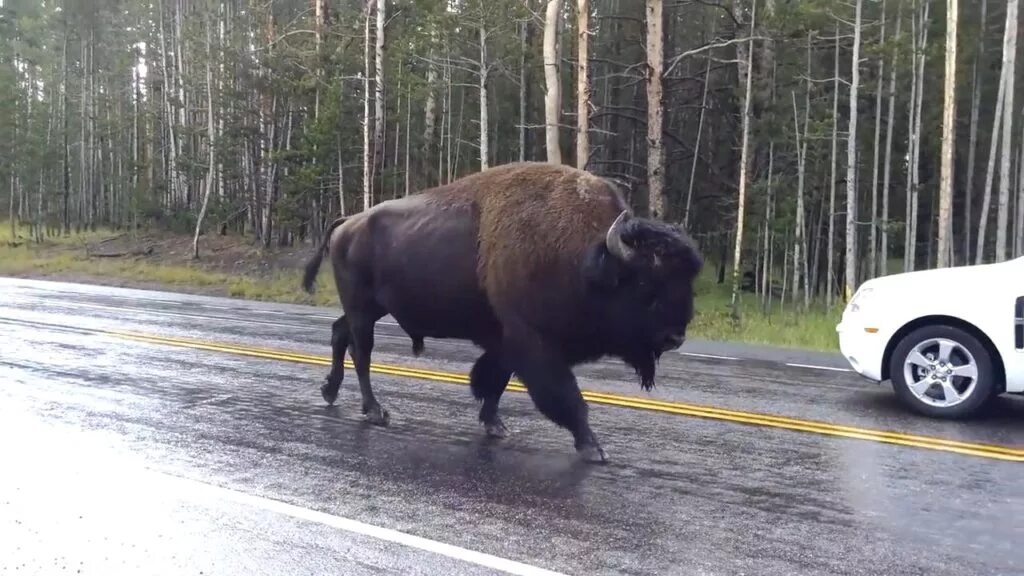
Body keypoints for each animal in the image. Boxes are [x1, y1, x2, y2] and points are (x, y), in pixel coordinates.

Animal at [301, 161, 704, 461]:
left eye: (687, 281)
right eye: (646, 284)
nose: (675, 337)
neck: (588, 256)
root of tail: (348, 222)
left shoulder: (507, 339)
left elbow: (494, 380)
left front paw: (495, 425)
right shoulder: (533, 341)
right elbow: (565, 396)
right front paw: (594, 448)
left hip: (370, 309)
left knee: (340, 334)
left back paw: (330, 391)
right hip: (362, 309)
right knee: (362, 352)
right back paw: (376, 411)